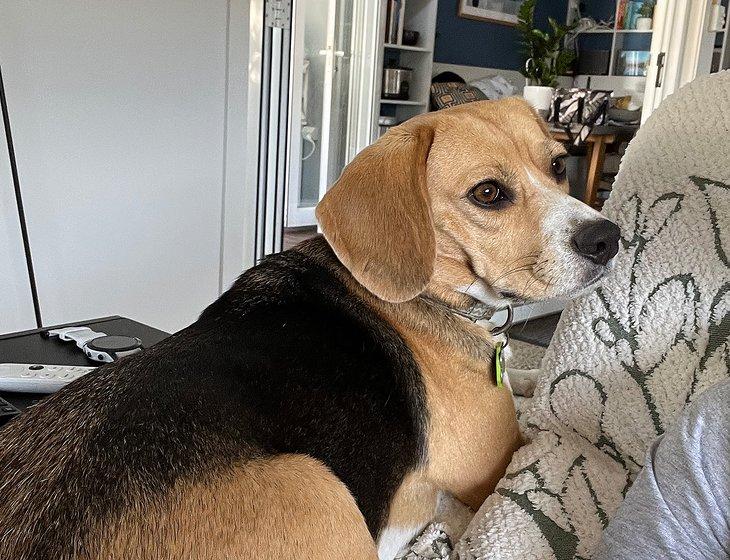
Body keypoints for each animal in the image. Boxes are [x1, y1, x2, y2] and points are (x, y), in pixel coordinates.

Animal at [0, 98, 616, 556]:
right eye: (488, 193)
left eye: (558, 166)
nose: (607, 238)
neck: (431, 296)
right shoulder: (496, 463)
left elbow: (529, 374)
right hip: (317, 485)